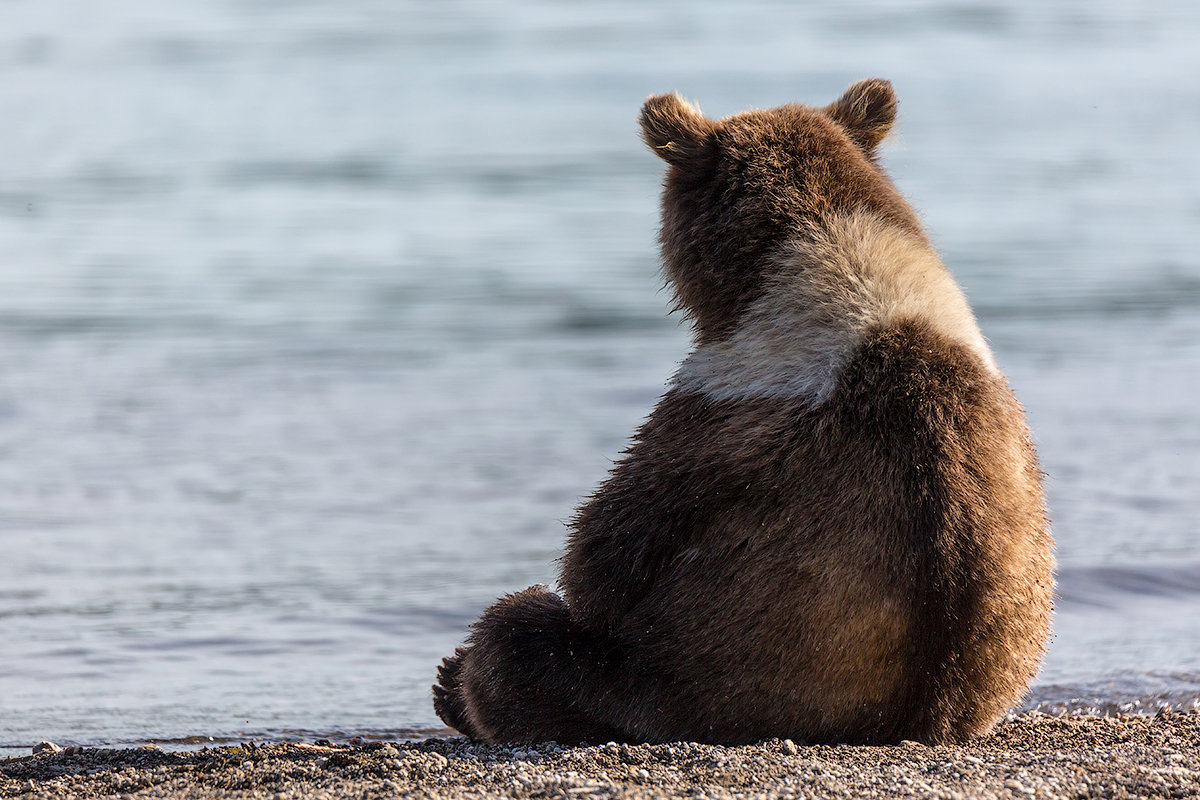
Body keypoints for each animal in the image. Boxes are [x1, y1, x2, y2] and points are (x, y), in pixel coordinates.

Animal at [436, 77, 1056, 748]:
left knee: (520, 642)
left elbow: (601, 558)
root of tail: (916, 720)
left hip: (682, 687)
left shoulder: (714, 413)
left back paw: (456, 684)